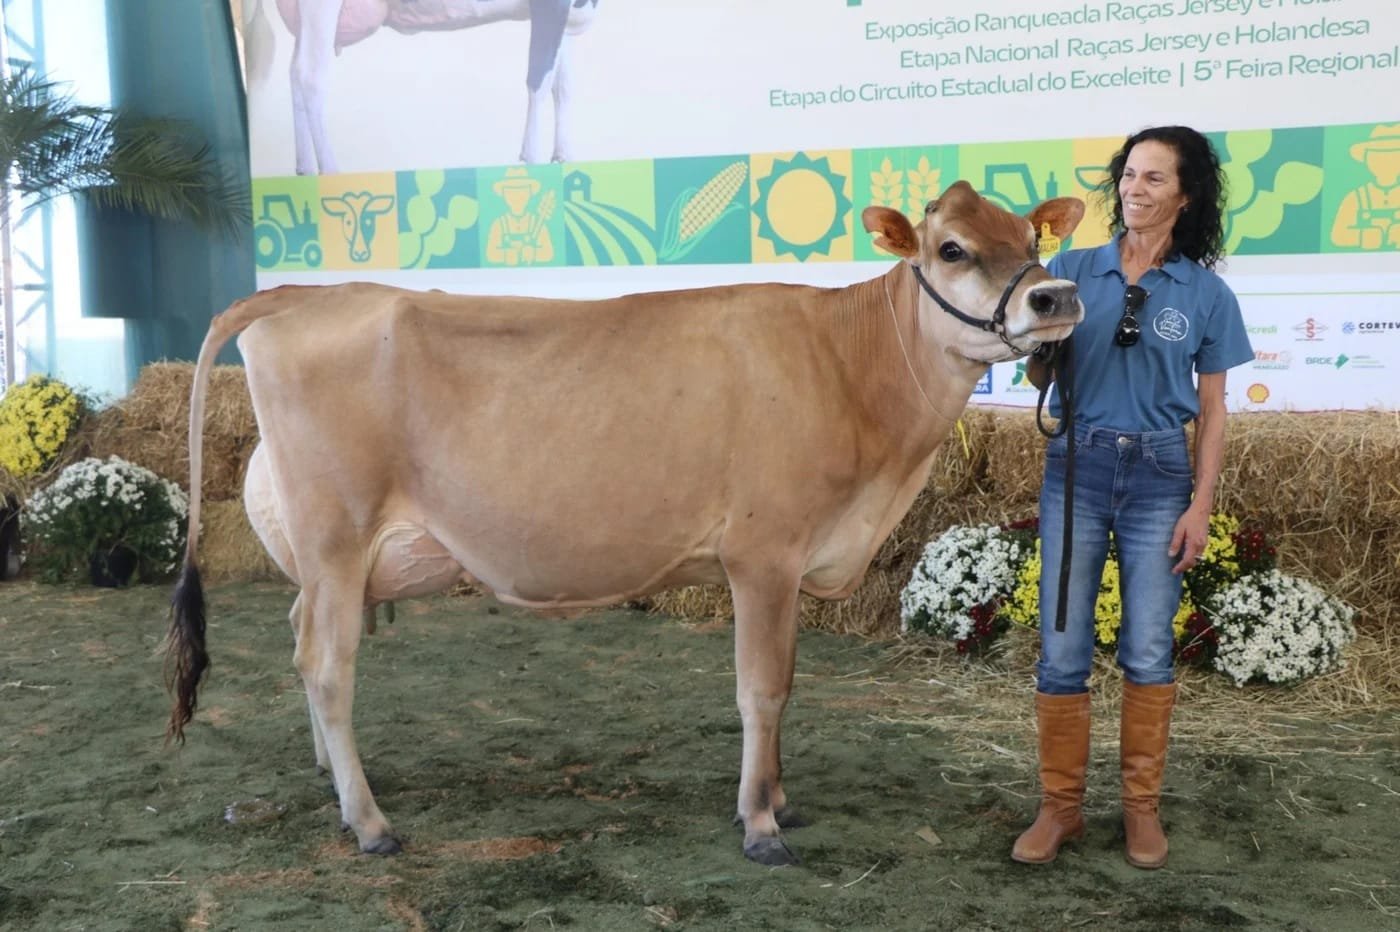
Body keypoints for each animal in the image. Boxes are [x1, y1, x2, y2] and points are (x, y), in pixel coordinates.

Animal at [165, 180, 1085, 866]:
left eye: (1029, 234)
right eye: (952, 249)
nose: (1056, 295)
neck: (851, 370)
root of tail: (298, 298)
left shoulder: (788, 564)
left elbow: (787, 684)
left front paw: (780, 798)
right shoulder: (763, 553)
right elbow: (763, 688)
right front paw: (760, 825)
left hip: (333, 559)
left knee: (300, 639)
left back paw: (331, 774)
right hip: (336, 534)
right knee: (327, 665)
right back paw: (369, 822)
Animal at [245, 0, 601, 174]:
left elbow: (562, 85)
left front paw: (563, 156)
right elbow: (538, 79)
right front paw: (533, 159)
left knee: (295, 73)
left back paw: (304, 168)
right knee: (311, 75)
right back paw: (331, 172)